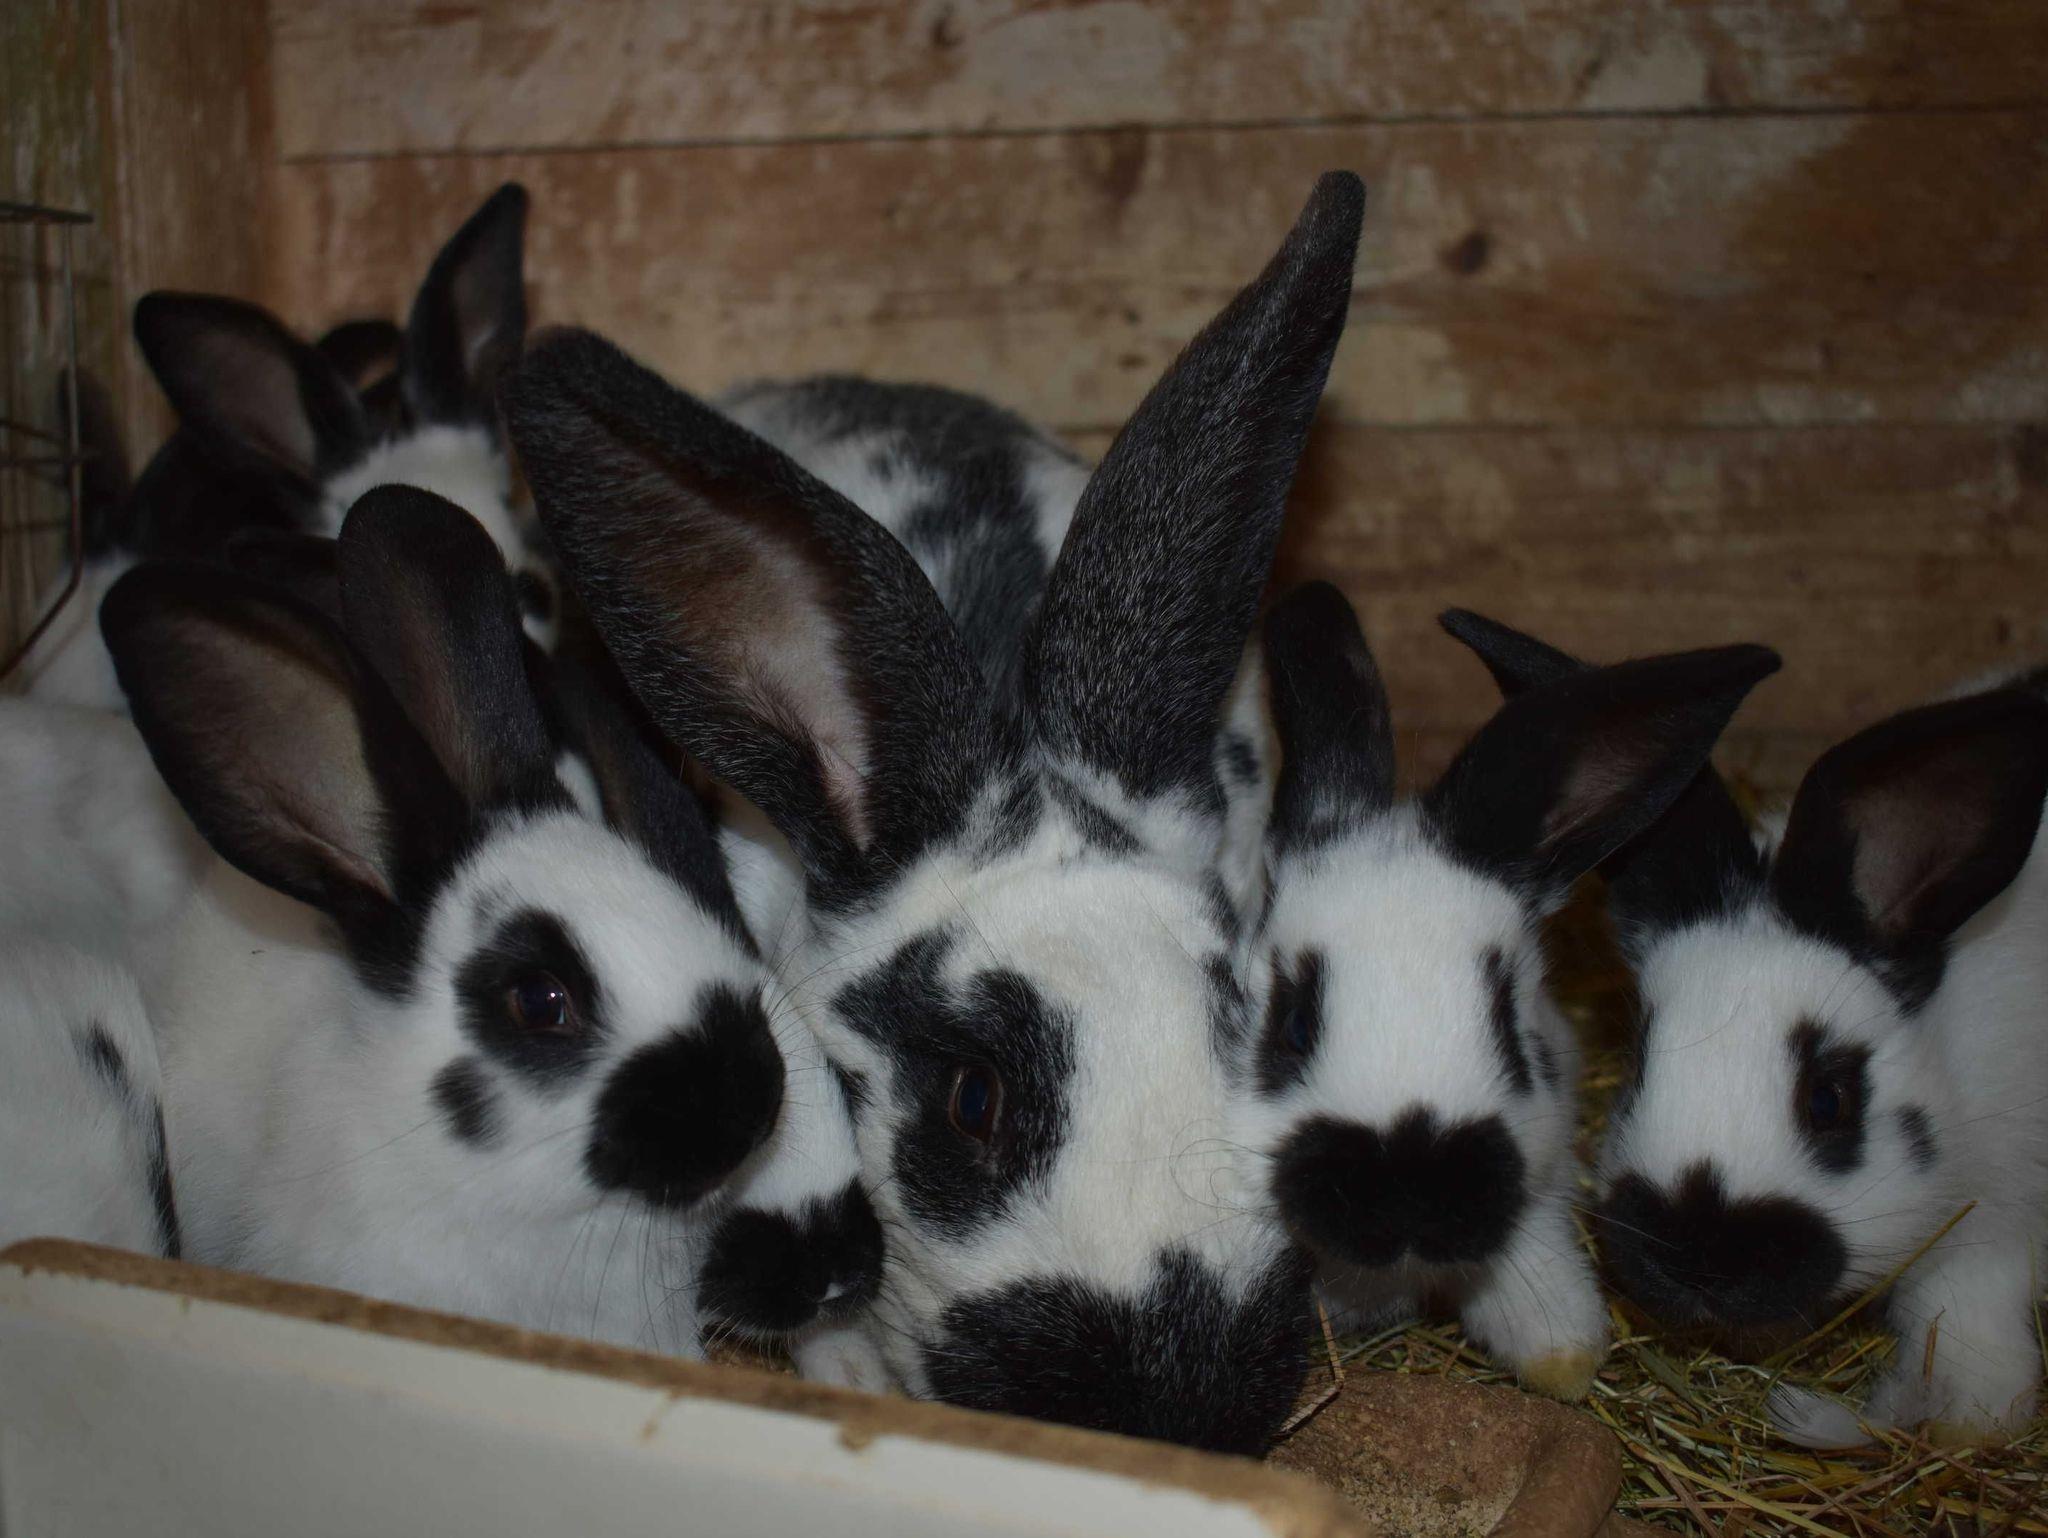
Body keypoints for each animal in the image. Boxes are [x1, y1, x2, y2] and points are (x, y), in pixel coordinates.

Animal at [1444, 612, 2048, 1447]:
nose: (1701, 1259)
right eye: (1639, 1062)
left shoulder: (1993, 1227)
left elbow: (1969, 1331)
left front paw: (1966, 1423)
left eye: (1829, 1101)